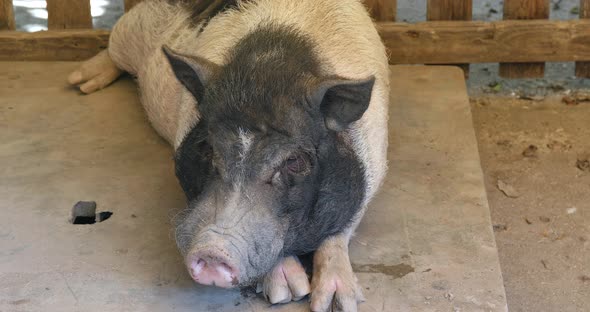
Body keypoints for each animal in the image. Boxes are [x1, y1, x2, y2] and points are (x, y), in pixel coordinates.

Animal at [69, 1, 390, 310]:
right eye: (208, 147)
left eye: (294, 161)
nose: (214, 252)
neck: (271, 67)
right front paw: (286, 292)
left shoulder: (372, 166)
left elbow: (338, 233)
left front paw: (335, 303)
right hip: (132, 27)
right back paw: (80, 83)